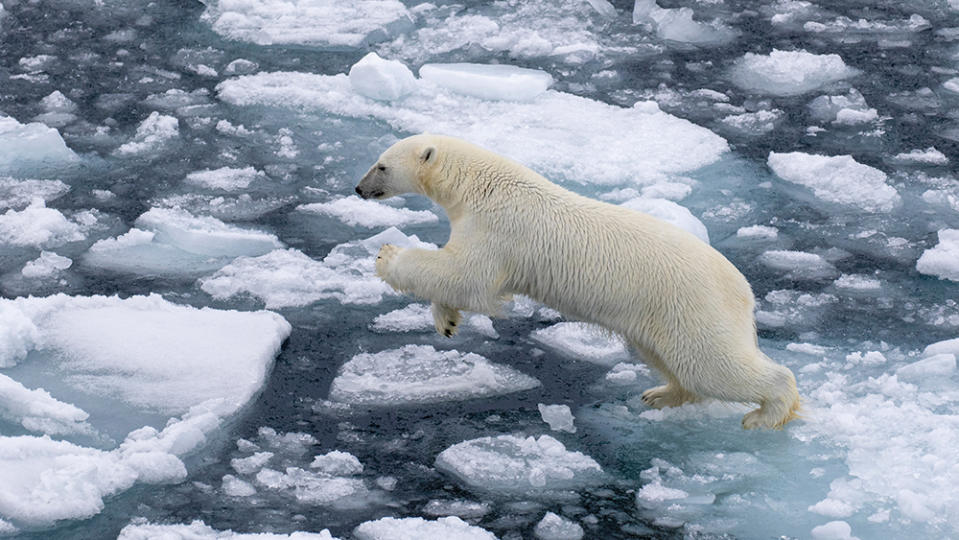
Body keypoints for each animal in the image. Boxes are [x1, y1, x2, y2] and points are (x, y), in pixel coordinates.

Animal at [356, 133, 800, 428]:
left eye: (382, 164)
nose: (359, 188)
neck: (481, 186)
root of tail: (743, 290)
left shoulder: (497, 229)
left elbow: (468, 276)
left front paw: (386, 254)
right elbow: (456, 278)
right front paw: (446, 321)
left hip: (692, 306)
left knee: (714, 365)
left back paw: (766, 414)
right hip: (660, 316)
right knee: (673, 360)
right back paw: (660, 393)